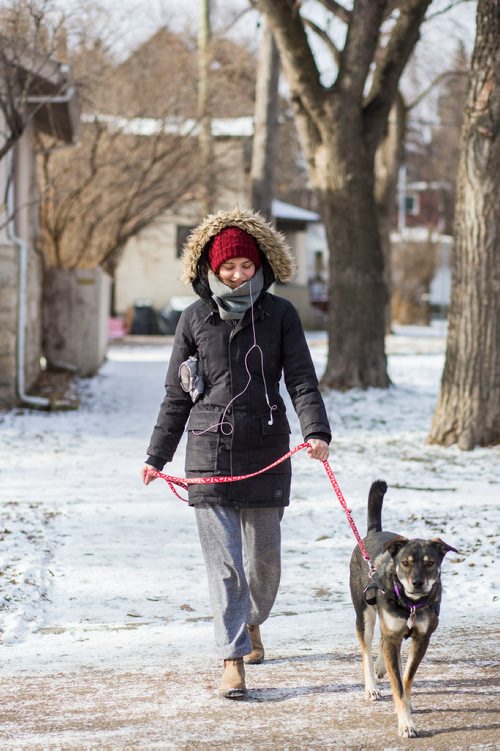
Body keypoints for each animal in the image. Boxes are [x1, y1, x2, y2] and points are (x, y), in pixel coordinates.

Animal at [348, 482, 458, 740]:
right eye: (405, 562)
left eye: (430, 563)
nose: (417, 583)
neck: (410, 604)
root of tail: (372, 533)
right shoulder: (392, 633)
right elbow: (397, 683)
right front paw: (406, 724)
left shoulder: (421, 638)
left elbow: (405, 678)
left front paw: (406, 705)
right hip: (364, 615)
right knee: (367, 649)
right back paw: (372, 687)